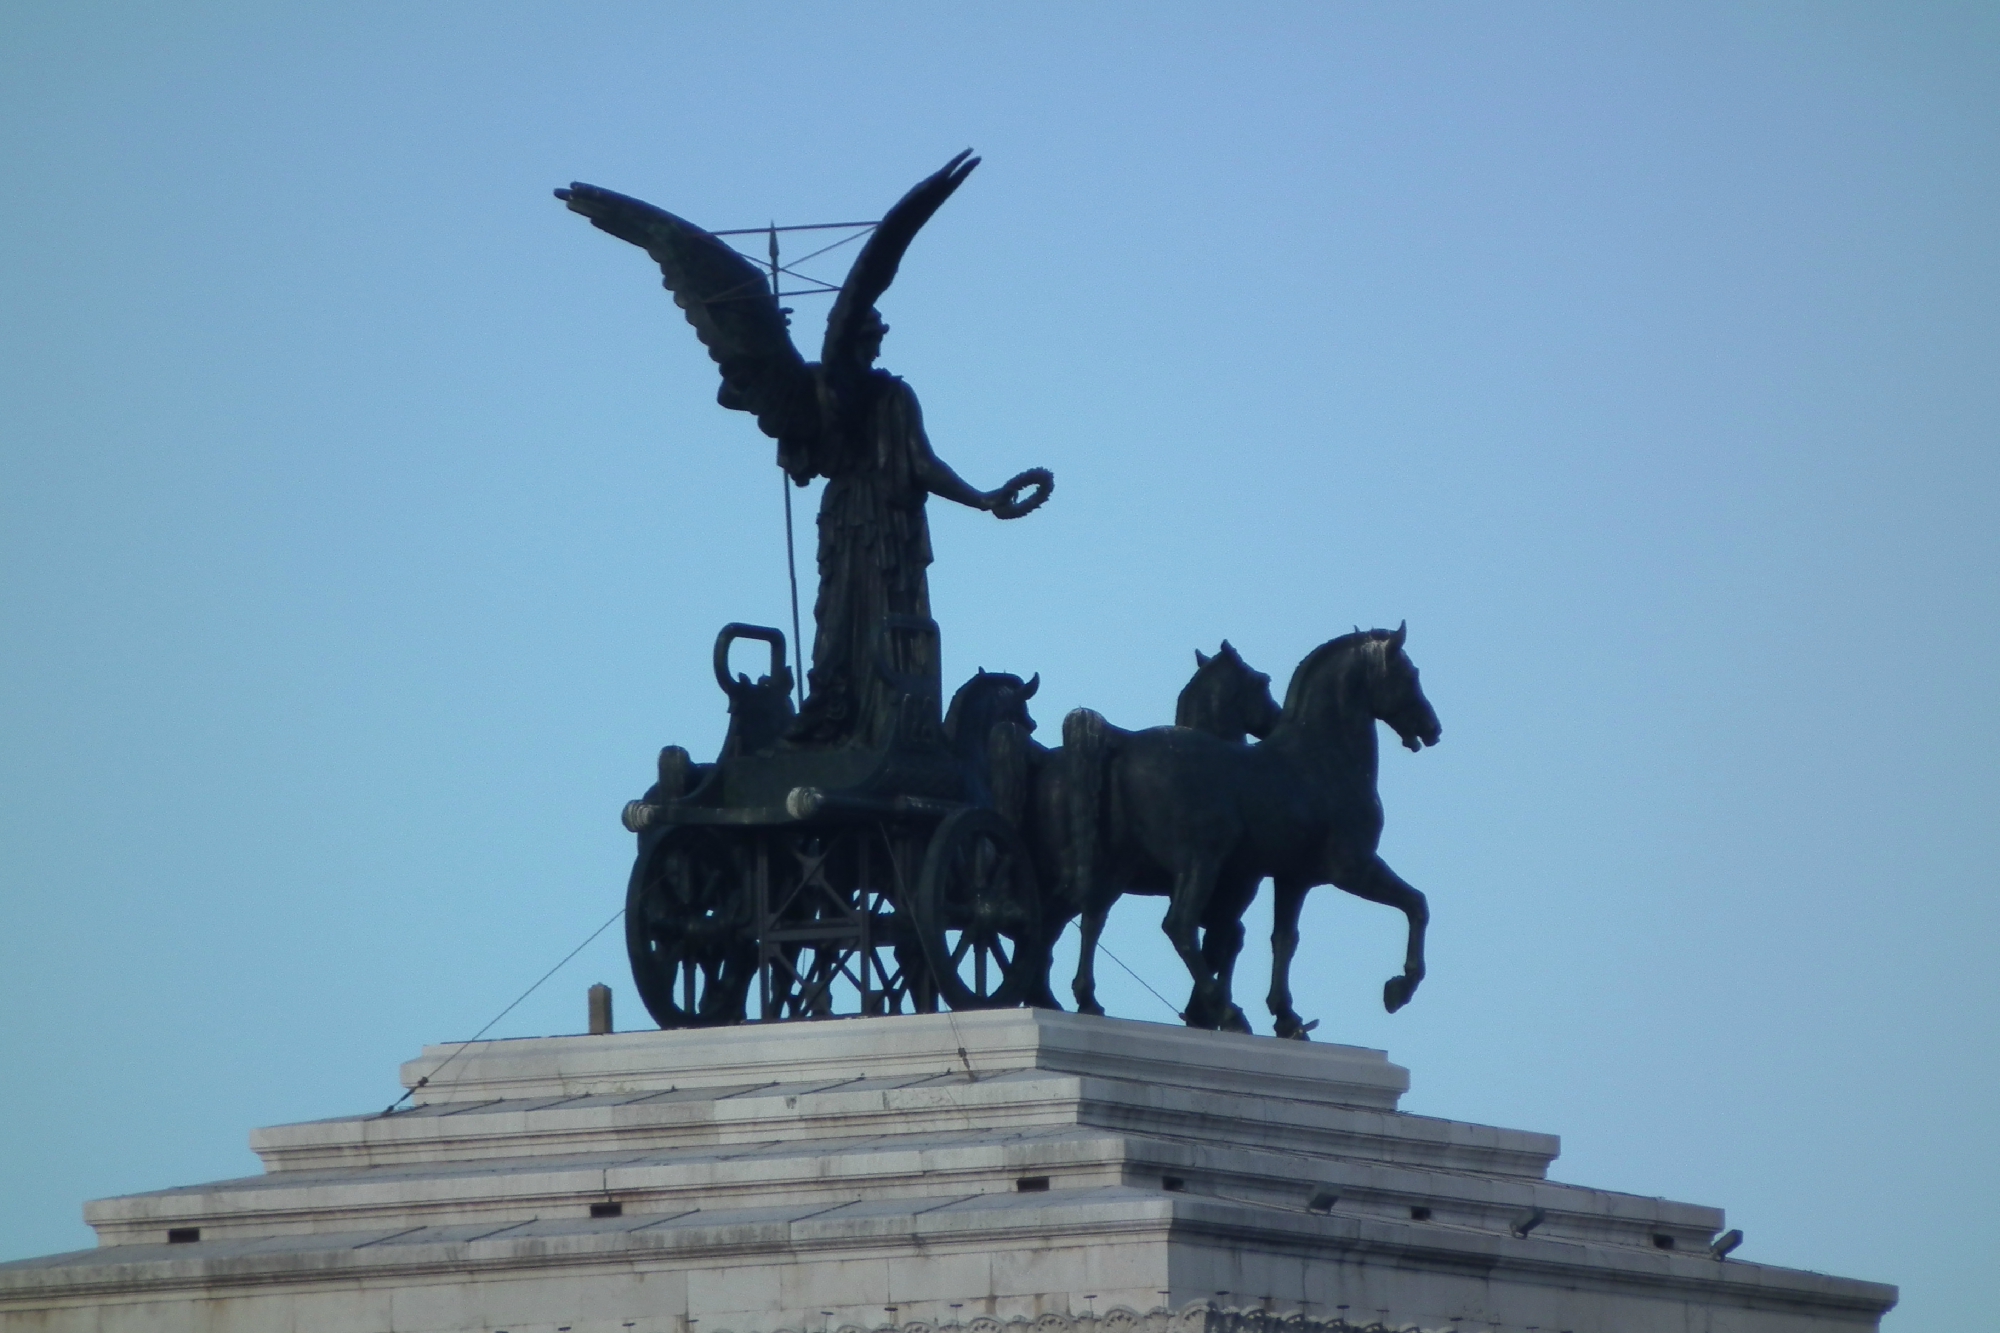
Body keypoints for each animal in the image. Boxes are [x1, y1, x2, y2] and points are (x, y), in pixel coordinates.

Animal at [1064, 620, 1440, 1024]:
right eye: (1410, 673)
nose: (1433, 728)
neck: (1322, 759)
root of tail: (1125, 742)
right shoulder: (1352, 868)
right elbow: (1416, 903)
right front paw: (1400, 988)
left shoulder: (1293, 879)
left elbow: (1284, 940)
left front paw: (1287, 1016)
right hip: (1200, 861)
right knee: (1178, 925)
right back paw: (1224, 1009)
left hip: (1122, 862)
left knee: (1094, 915)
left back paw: (1090, 1000)